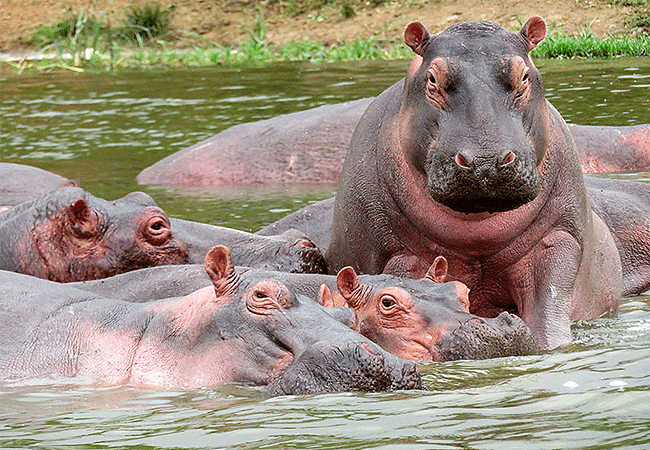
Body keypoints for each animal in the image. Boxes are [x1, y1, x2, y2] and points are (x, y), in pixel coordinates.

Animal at [326, 16, 620, 348]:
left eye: (524, 75)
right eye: (432, 78)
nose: (485, 160)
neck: (478, 228)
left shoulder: (558, 238)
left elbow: (548, 307)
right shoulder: (400, 254)